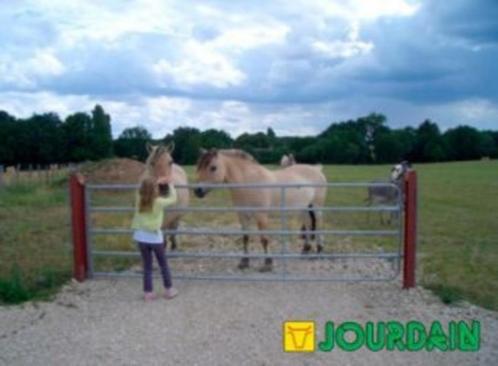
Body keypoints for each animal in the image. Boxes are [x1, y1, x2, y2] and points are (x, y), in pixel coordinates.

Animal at [194, 149, 326, 272]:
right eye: (198, 166)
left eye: (213, 167)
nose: (197, 191)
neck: (249, 183)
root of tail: (317, 169)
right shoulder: (242, 215)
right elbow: (245, 238)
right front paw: (244, 262)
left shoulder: (261, 216)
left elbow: (264, 239)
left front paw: (268, 264)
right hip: (304, 208)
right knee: (308, 224)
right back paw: (305, 251)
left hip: (316, 207)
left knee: (318, 225)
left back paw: (319, 251)